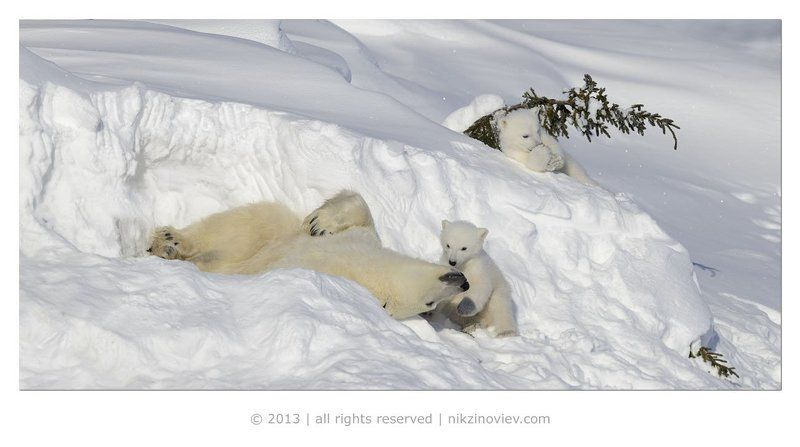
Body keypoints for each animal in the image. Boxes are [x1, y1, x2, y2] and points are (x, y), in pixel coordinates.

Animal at [147, 191, 468, 320]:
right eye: (431, 302)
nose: (464, 282)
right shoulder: (362, 241)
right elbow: (360, 210)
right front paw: (319, 222)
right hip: (274, 232)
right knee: (248, 222)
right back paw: (169, 241)